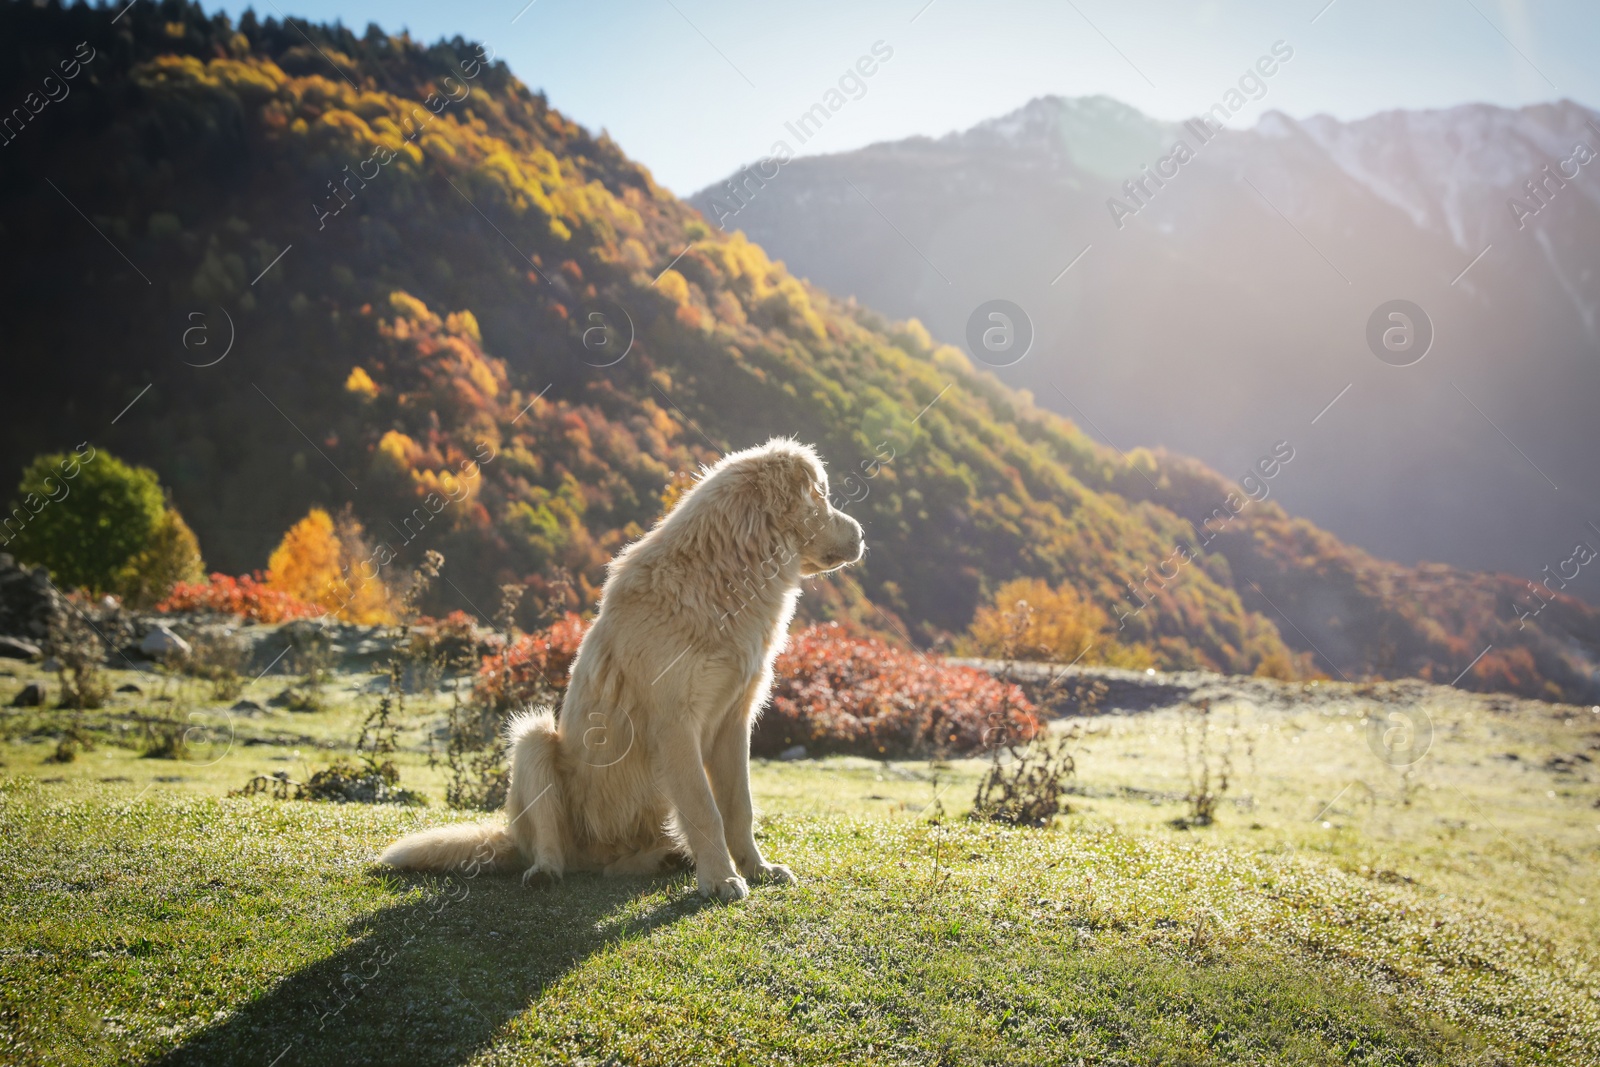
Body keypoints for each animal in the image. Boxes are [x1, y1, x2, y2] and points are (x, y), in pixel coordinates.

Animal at [379, 438, 864, 895]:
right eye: (822, 496)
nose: (862, 534)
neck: (724, 581)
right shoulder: (676, 725)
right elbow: (705, 810)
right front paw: (722, 881)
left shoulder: (733, 721)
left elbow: (738, 808)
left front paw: (757, 869)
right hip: (534, 739)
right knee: (551, 844)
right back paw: (545, 873)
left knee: (617, 865)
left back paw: (667, 860)